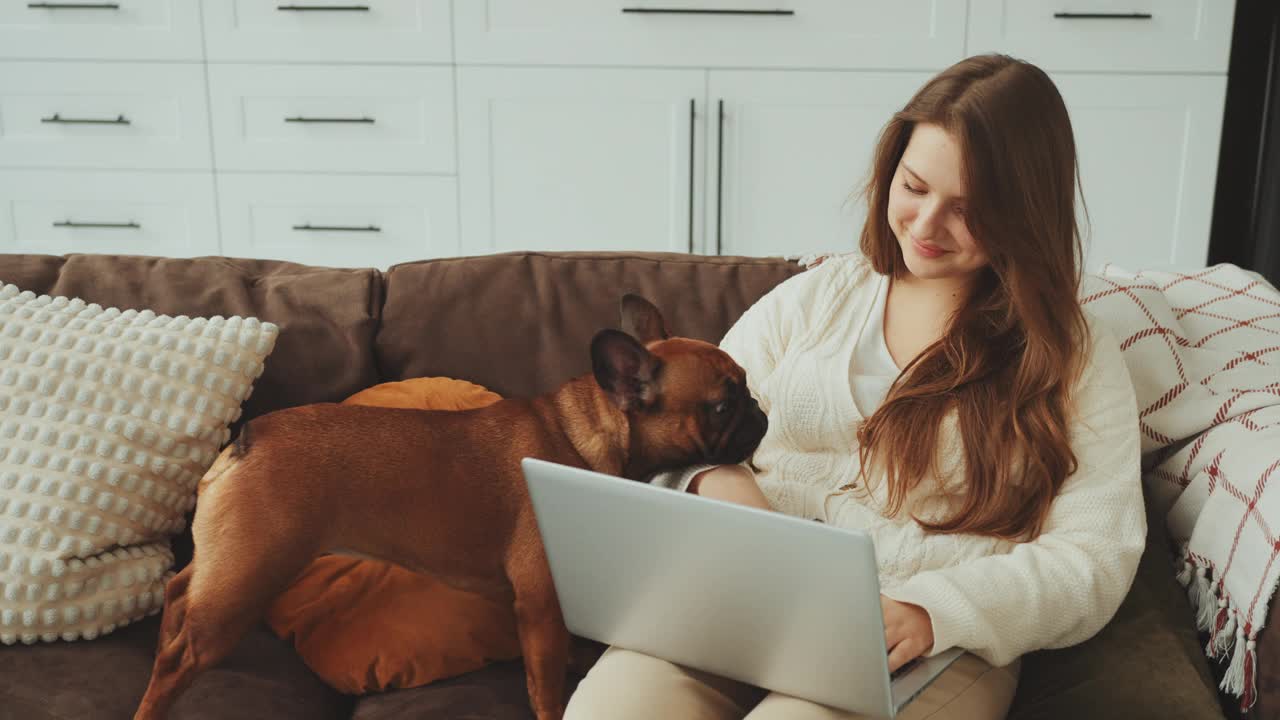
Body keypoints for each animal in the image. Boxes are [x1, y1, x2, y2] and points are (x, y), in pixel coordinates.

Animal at [131, 293, 768, 717]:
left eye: (745, 387)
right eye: (721, 405)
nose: (760, 411)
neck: (593, 432)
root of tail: (249, 436)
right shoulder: (541, 606)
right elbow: (544, 683)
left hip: (226, 560)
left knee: (179, 589)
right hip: (248, 576)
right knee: (182, 656)